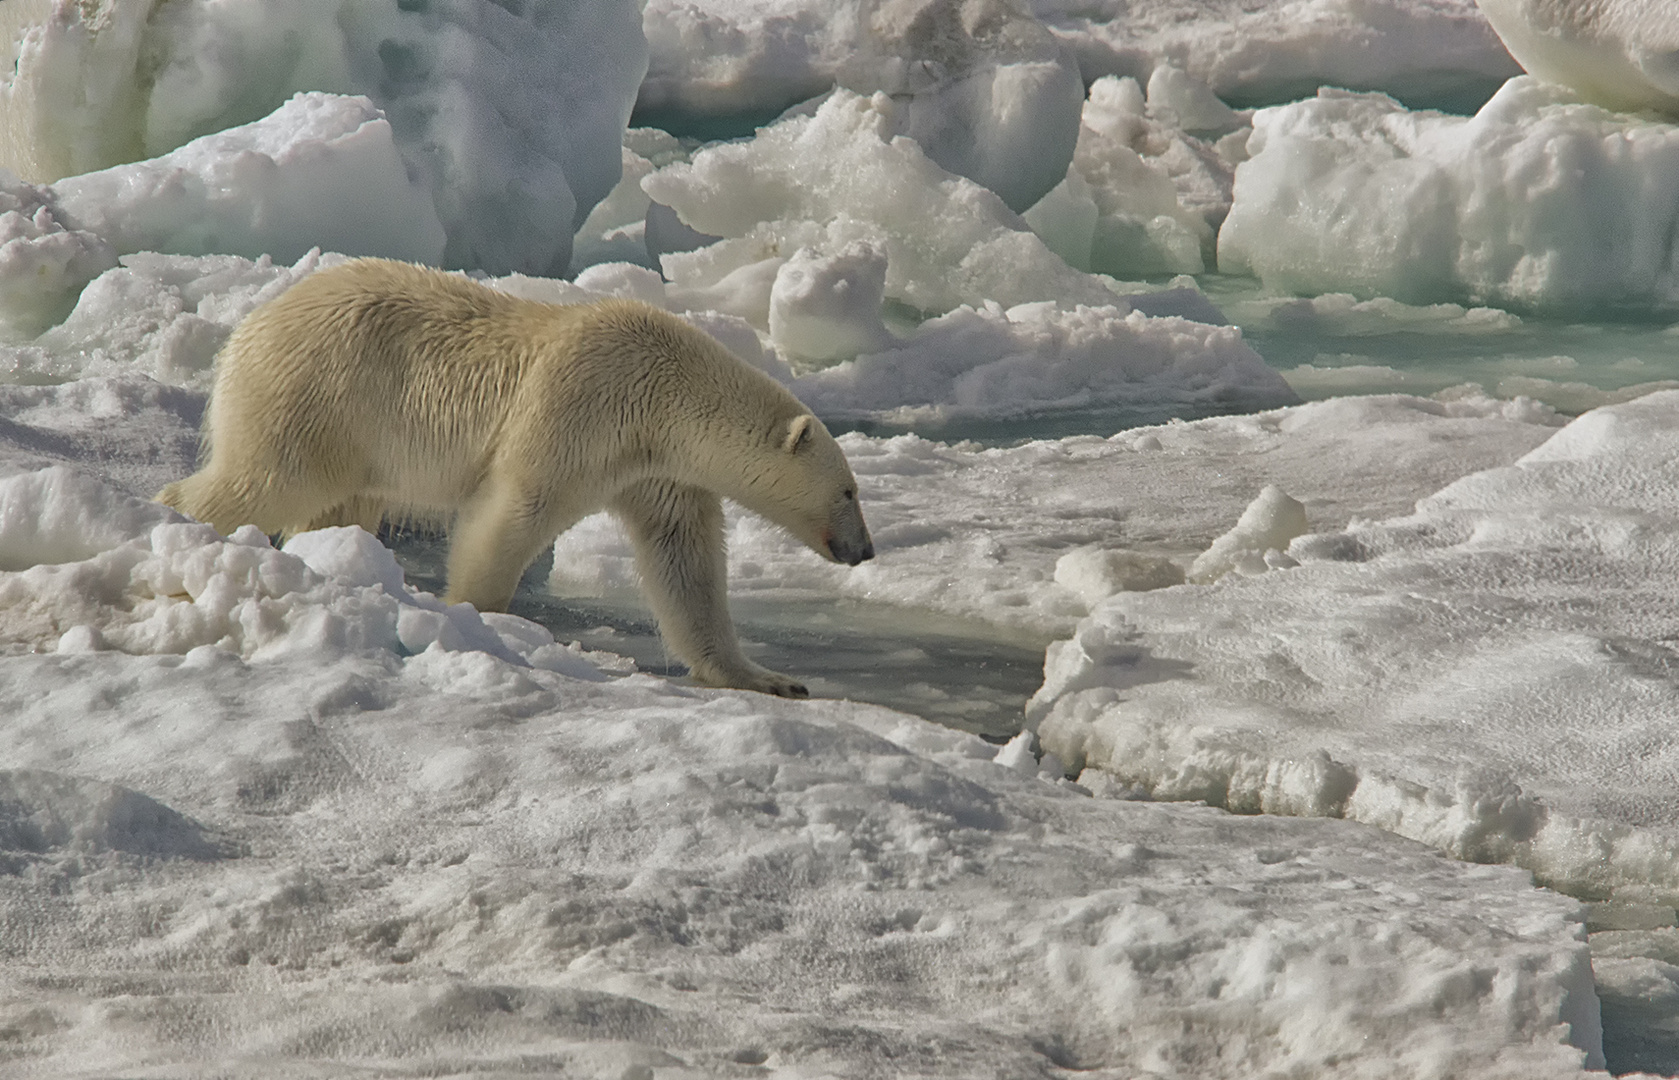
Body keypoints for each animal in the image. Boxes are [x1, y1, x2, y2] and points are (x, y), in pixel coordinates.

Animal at [154, 263, 879, 702]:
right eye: (848, 490)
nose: (865, 549)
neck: (663, 392)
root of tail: (250, 325)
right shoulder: (579, 406)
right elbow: (513, 510)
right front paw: (480, 623)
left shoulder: (659, 473)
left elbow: (686, 565)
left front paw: (771, 679)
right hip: (318, 391)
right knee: (266, 478)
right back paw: (174, 528)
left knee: (340, 506)